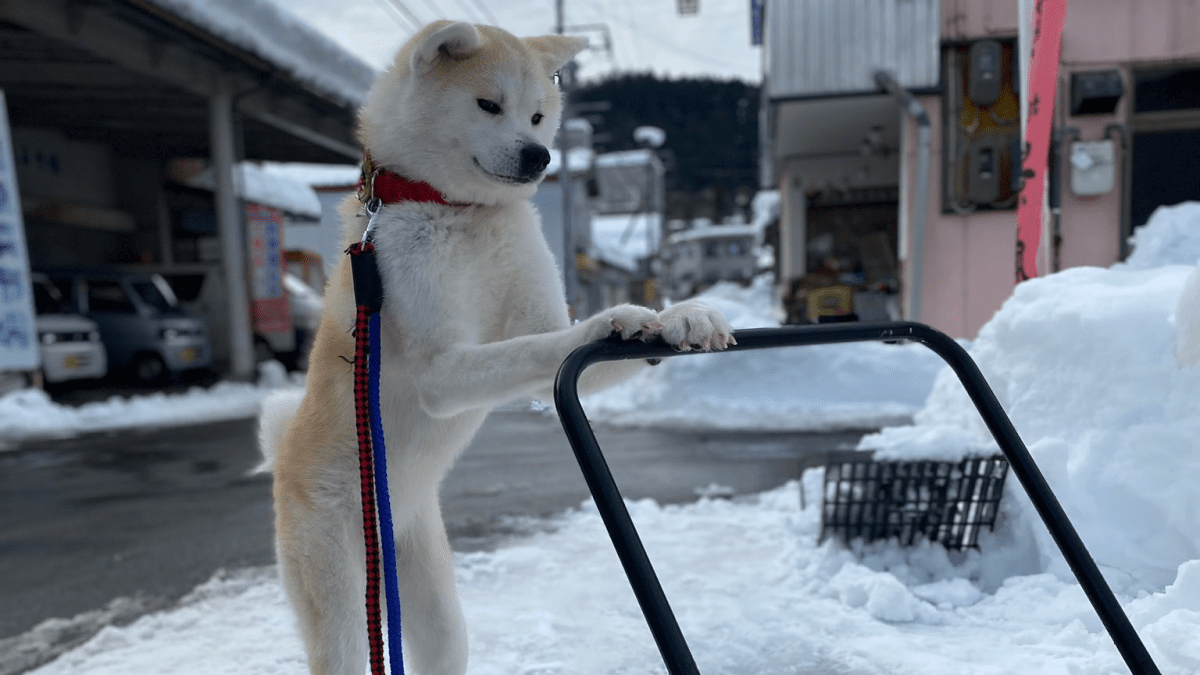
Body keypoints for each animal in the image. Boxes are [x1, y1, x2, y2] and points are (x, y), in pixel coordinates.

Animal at [256, 21, 729, 672]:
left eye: (537, 116)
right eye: (488, 105)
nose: (540, 156)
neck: (462, 211)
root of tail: (285, 459)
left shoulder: (536, 311)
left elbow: (555, 340)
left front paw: (680, 317)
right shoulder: (441, 370)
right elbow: (537, 349)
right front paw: (614, 321)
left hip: (434, 600)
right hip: (337, 587)